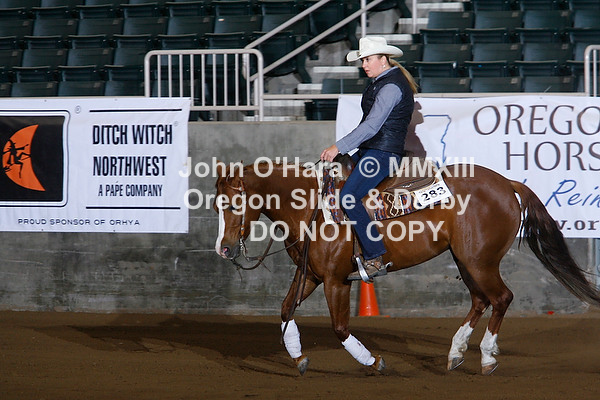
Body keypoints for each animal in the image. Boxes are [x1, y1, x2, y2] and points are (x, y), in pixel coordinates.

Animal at [214, 159, 600, 376]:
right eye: (217, 204)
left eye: (233, 205)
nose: (224, 249)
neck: (312, 208)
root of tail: (507, 183)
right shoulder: (310, 275)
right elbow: (284, 310)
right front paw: (298, 359)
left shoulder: (337, 281)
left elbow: (340, 328)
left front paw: (374, 363)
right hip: (466, 260)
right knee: (481, 300)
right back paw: (455, 353)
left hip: (480, 260)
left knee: (501, 298)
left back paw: (487, 358)